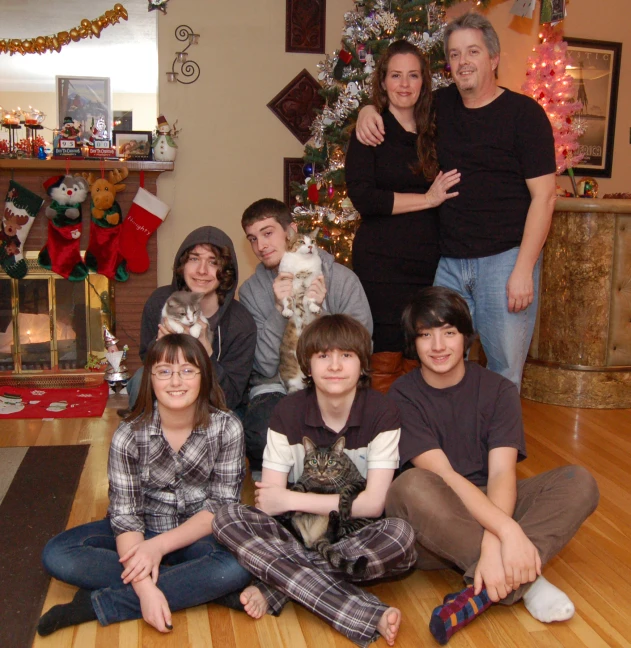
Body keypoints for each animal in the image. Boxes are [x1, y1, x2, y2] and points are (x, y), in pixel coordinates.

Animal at [278, 233, 324, 394]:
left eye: (313, 241)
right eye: (301, 241)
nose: (310, 246)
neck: (303, 265)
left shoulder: (312, 285)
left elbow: (310, 299)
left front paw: (315, 308)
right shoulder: (288, 285)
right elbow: (287, 300)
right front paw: (287, 311)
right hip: (291, 373)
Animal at [278, 436, 372, 576]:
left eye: (331, 462)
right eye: (314, 461)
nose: (321, 471)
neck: (325, 484)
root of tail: (315, 538)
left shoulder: (360, 482)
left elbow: (347, 489)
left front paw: (344, 507)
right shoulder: (303, 481)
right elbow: (295, 490)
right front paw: (288, 508)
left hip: (363, 519)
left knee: (335, 535)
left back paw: (334, 518)